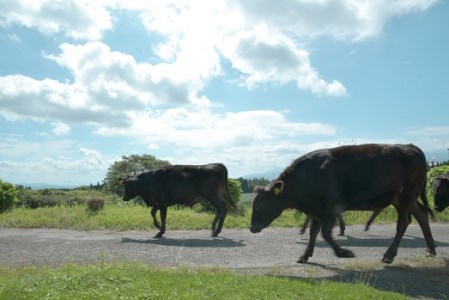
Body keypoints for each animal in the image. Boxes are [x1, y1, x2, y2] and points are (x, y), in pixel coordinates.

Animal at [248, 144, 434, 264]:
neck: (311, 173)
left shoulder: (331, 208)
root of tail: (411, 147)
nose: (251, 228)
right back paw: (431, 249)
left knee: (403, 222)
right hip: (402, 198)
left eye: (259, 204)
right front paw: (304, 255)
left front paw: (344, 252)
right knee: (422, 215)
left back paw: (389, 255)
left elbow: (325, 233)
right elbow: (313, 232)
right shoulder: (317, 211)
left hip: (407, 195)